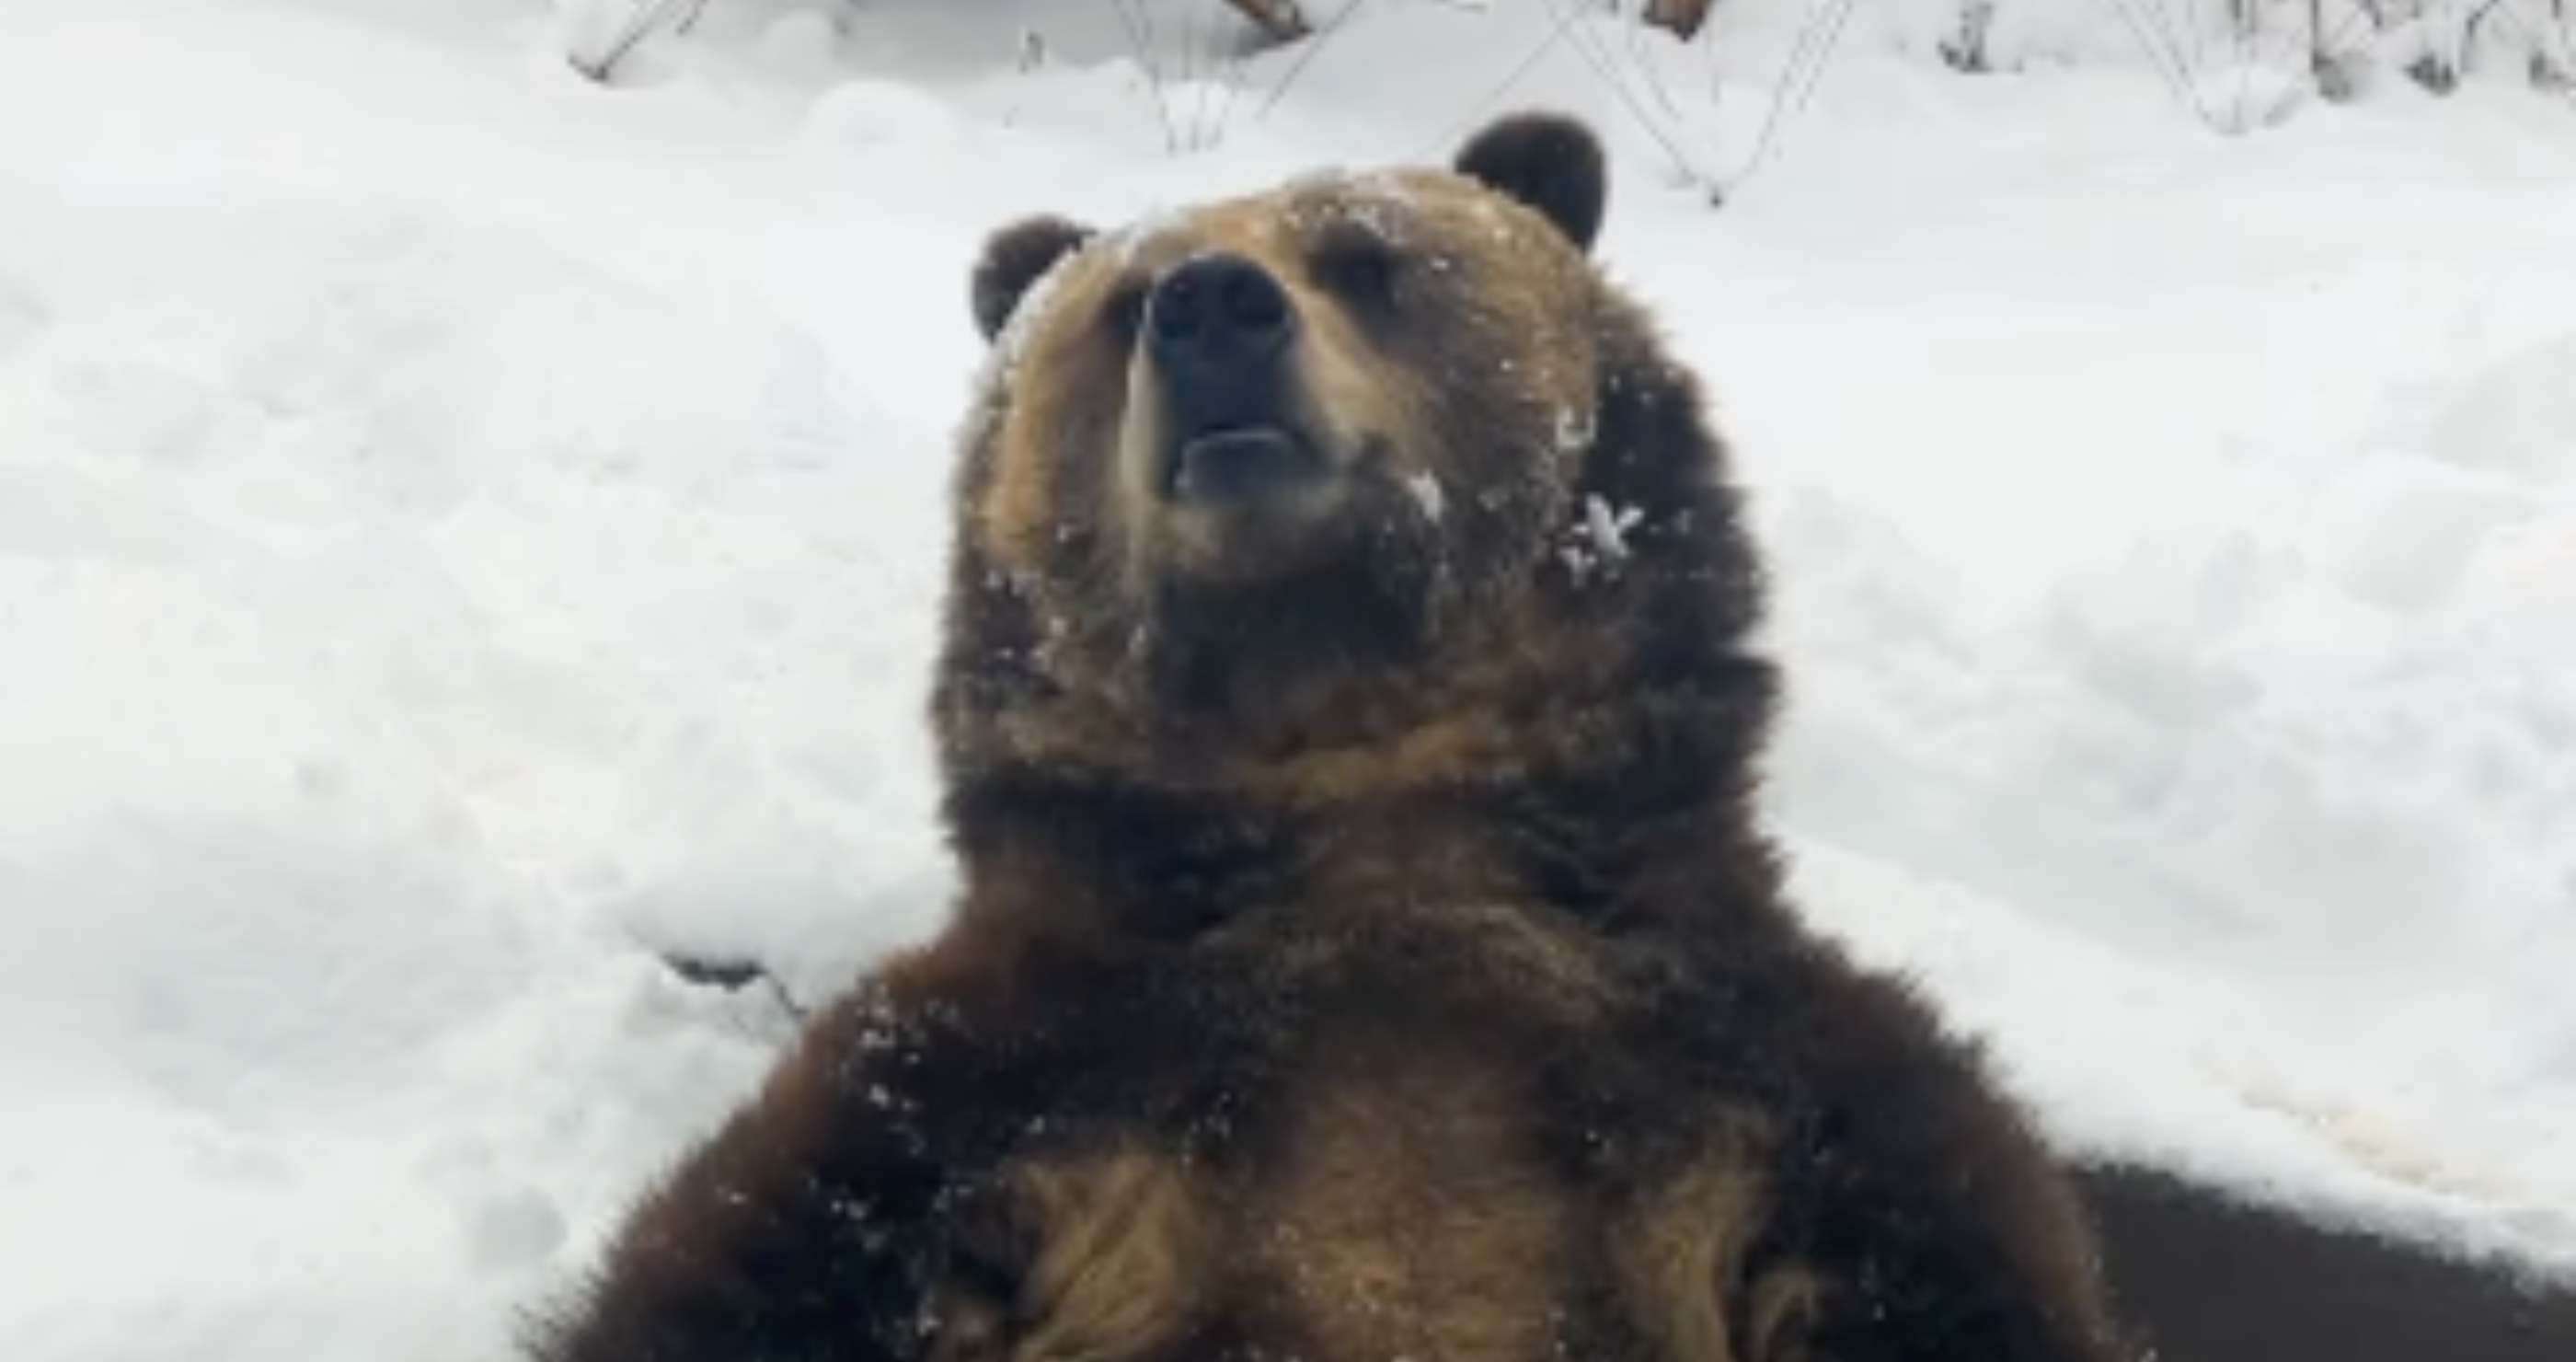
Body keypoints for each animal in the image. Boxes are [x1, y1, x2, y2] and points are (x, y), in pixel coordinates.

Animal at [523, 113, 2133, 1359]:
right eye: (1120, 301)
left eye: (1369, 257)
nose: (1215, 310)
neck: (1364, 792)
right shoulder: (997, 1083)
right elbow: (739, 1273)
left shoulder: (1757, 1081)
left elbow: (1946, 1265)